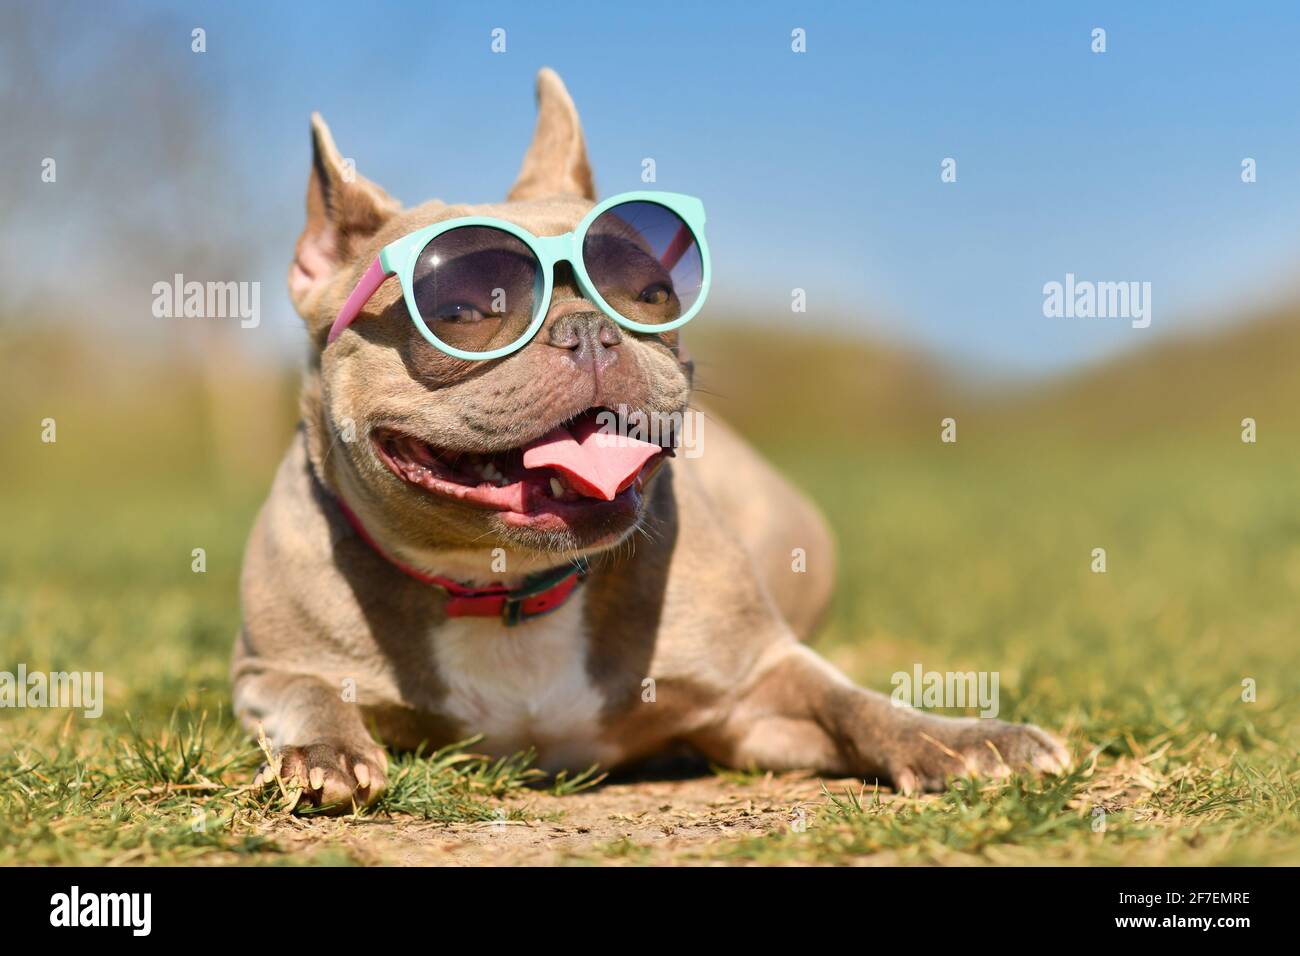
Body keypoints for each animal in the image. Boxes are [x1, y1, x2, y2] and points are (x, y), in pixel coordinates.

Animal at [231, 69, 1066, 816]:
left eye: (652, 293)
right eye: (464, 309)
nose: (589, 330)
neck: (508, 589)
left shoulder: (760, 688)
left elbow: (854, 704)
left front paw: (966, 739)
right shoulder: (260, 669)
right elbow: (305, 687)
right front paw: (326, 746)